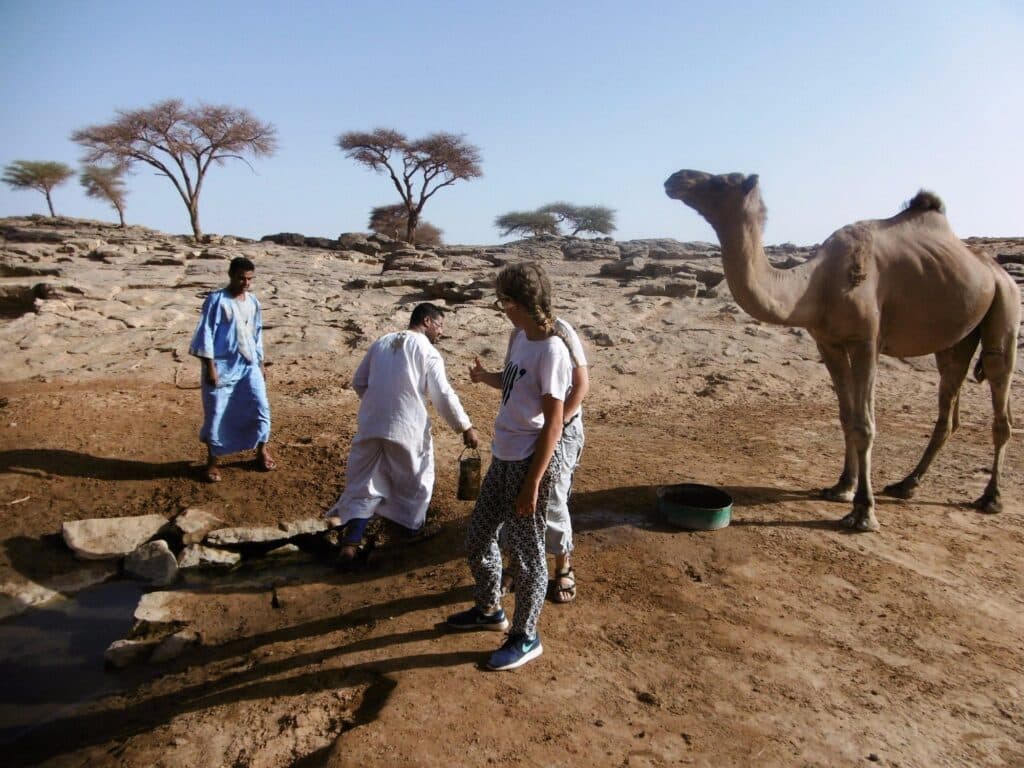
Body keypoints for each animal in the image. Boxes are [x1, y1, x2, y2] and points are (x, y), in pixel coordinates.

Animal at [664, 170, 1019, 531]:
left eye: (722, 181)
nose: (676, 178)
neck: (815, 284)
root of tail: (995, 269)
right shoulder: (828, 342)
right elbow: (846, 416)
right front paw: (842, 487)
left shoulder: (866, 341)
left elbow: (865, 424)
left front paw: (863, 512)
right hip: (956, 339)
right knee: (949, 401)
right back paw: (906, 484)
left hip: (1006, 304)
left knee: (999, 389)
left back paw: (991, 498)